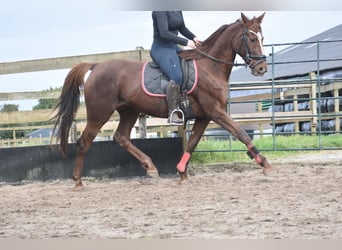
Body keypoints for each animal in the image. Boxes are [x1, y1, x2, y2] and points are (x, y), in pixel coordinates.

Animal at [53, 12, 272, 188]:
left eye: (262, 37)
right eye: (252, 38)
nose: (262, 68)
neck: (211, 66)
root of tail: (96, 66)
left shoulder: (204, 116)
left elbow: (192, 143)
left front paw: (182, 172)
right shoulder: (215, 111)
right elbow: (241, 133)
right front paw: (265, 164)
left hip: (129, 111)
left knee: (121, 137)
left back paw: (150, 167)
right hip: (100, 113)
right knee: (85, 141)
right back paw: (78, 181)